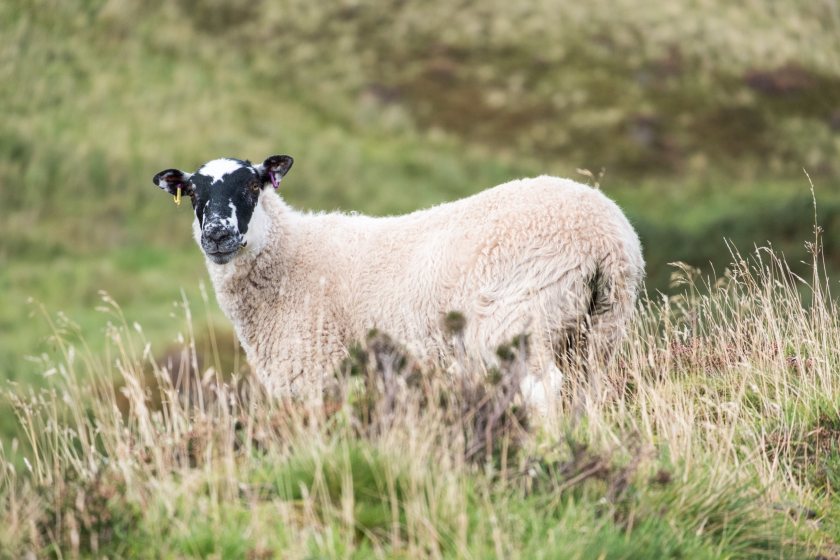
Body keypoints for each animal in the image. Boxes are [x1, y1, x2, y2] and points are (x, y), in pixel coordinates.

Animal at [154, 155, 648, 410]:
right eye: (194, 193)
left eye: (254, 186)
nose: (218, 234)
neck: (291, 255)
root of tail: (607, 236)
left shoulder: (314, 373)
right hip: (599, 328)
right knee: (587, 390)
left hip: (520, 316)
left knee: (541, 389)